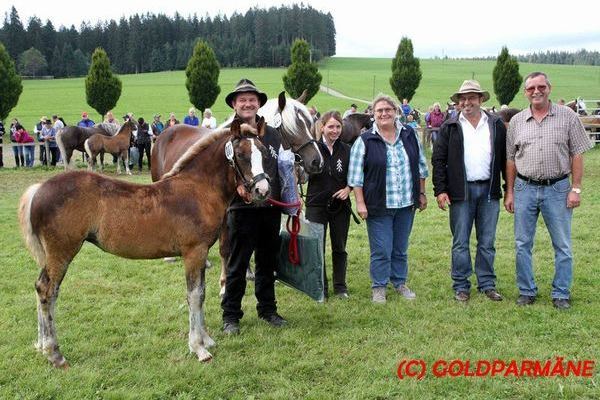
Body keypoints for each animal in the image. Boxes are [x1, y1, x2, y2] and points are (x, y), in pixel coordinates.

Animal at [17, 120, 270, 368]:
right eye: (241, 154)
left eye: (265, 151)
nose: (263, 190)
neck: (197, 189)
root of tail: (39, 189)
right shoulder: (194, 252)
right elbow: (195, 296)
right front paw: (198, 348)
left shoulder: (201, 254)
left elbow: (202, 292)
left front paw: (206, 339)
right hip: (61, 253)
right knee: (49, 291)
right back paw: (55, 353)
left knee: (40, 287)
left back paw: (41, 346)